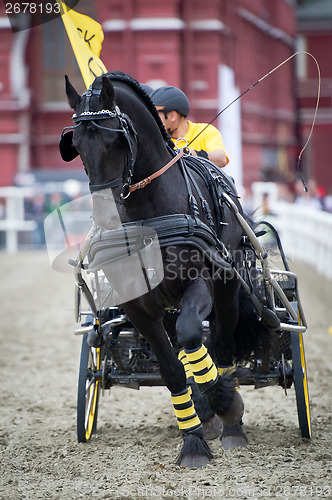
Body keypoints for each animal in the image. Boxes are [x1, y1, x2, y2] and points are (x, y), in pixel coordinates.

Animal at [61, 71, 255, 468]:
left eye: (114, 140)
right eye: (76, 144)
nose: (106, 215)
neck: (148, 215)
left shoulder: (198, 286)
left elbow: (194, 334)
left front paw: (224, 403)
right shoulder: (137, 305)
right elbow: (171, 368)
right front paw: (193, 441)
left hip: (226, 286)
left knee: (221, 344)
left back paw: (231, 423)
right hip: (164, 304)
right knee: (182, 345)